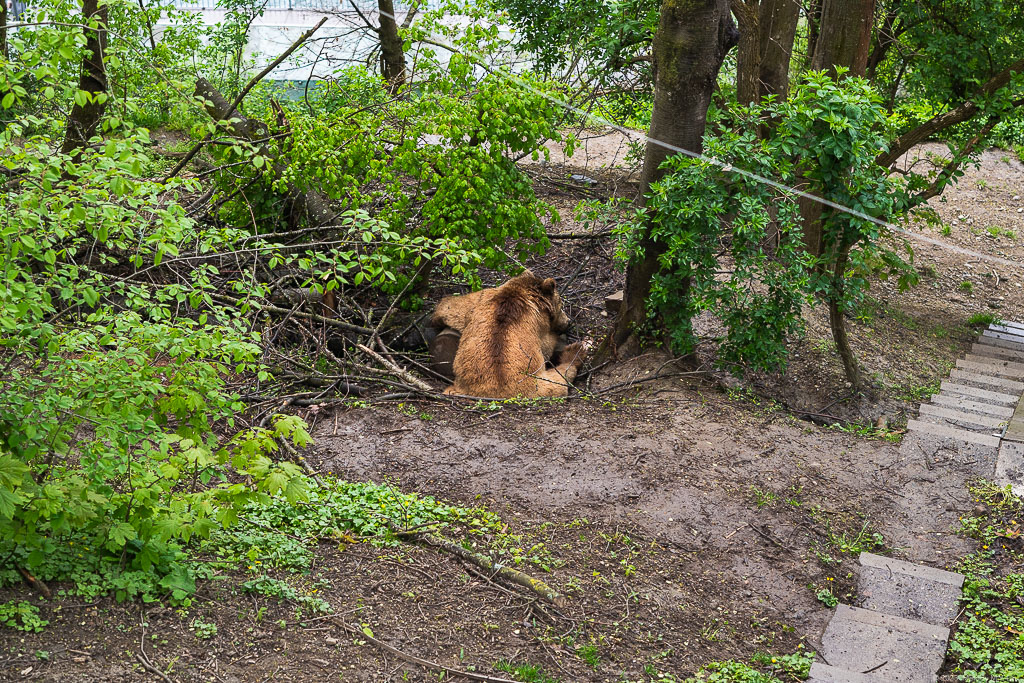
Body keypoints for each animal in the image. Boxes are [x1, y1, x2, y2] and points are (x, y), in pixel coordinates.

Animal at [430, 272, 589, 397]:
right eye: (561, 305)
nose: (568, 321)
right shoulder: (540, 328)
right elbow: (547, 346)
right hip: (536, 384)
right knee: (560, 378)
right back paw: (575, 352)